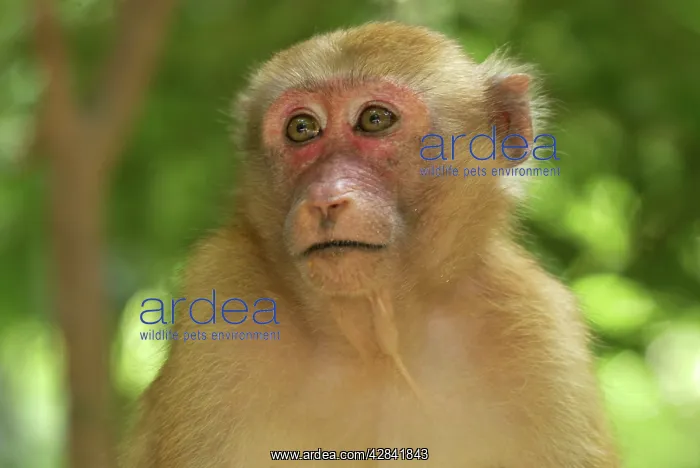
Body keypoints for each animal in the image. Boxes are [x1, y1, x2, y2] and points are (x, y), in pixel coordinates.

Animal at [120, 21, 619, 468]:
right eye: (302, 128)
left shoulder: (540, 333)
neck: (377, 342)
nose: (325, 198)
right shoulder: (222, 307)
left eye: (374, 120)